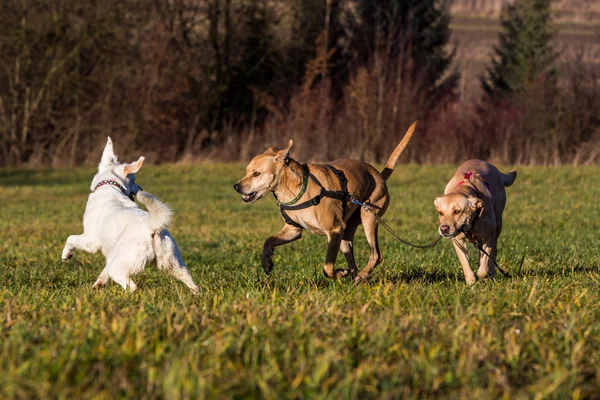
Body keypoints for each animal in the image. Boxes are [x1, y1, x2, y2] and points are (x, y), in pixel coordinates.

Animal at [62, 138, 200, 294]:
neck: (110, 186)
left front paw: (66, 255)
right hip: (174, 264)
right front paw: (99, 284)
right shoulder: (110, 253)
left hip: (118, 266)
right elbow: (103, 272)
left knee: (132, 287)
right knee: (191, 281)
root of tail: (151, 226)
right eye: (134, 180)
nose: (140, 188)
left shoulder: (91, 241)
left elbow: (71, 238)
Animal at [234, 122, 418, 282]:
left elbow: (327, 267)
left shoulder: (334, 230)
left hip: (368, 217)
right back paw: (355, 280)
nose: (236, 187)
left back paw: (361, 275)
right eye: (246, 171)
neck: (298, 189)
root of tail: (378, 174)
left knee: (376, 255)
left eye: (256, 174)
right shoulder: (293, 230)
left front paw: (340, 272)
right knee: (353, 262)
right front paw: (266, 261)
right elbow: (269, 240)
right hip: (346, 234)